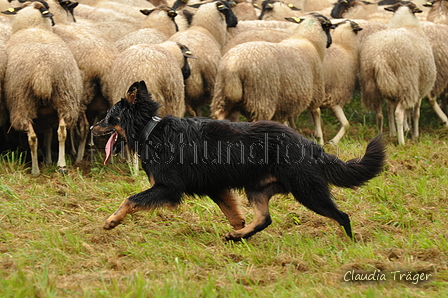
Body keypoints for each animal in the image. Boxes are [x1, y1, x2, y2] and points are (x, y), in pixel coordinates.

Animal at [3, 1, 83, 175]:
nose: (53, 23)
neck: (34, 27)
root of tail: (43, 71)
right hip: (65, 96)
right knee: (62, 130)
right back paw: (61, 165)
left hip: (22, 101)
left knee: (32, 137)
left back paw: (35, 170)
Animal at [91, 80, 384, 241]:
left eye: (108, 116)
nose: (92, 128)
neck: (151, 130)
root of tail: (309, 145)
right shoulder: (217, 187)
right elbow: (234, 216)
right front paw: (239, 231)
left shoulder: (168, 188)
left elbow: (130, 199)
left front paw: (111, 221)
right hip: (258, 188)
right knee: (265, 218)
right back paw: (238, 237)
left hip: (307, 190)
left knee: (341, 215)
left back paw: (349, 243)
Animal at [358, 1, 436, 146]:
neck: (404, 24)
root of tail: (380, 56)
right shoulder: (419, 89)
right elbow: (415, 113)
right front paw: (414, 134)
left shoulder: (391, 91)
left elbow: (391, 110)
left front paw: (396, 132)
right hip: (406, 82)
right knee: (399, 113)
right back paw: (401, 142)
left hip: (372, 85)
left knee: (379, 114)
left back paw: (379, 137)